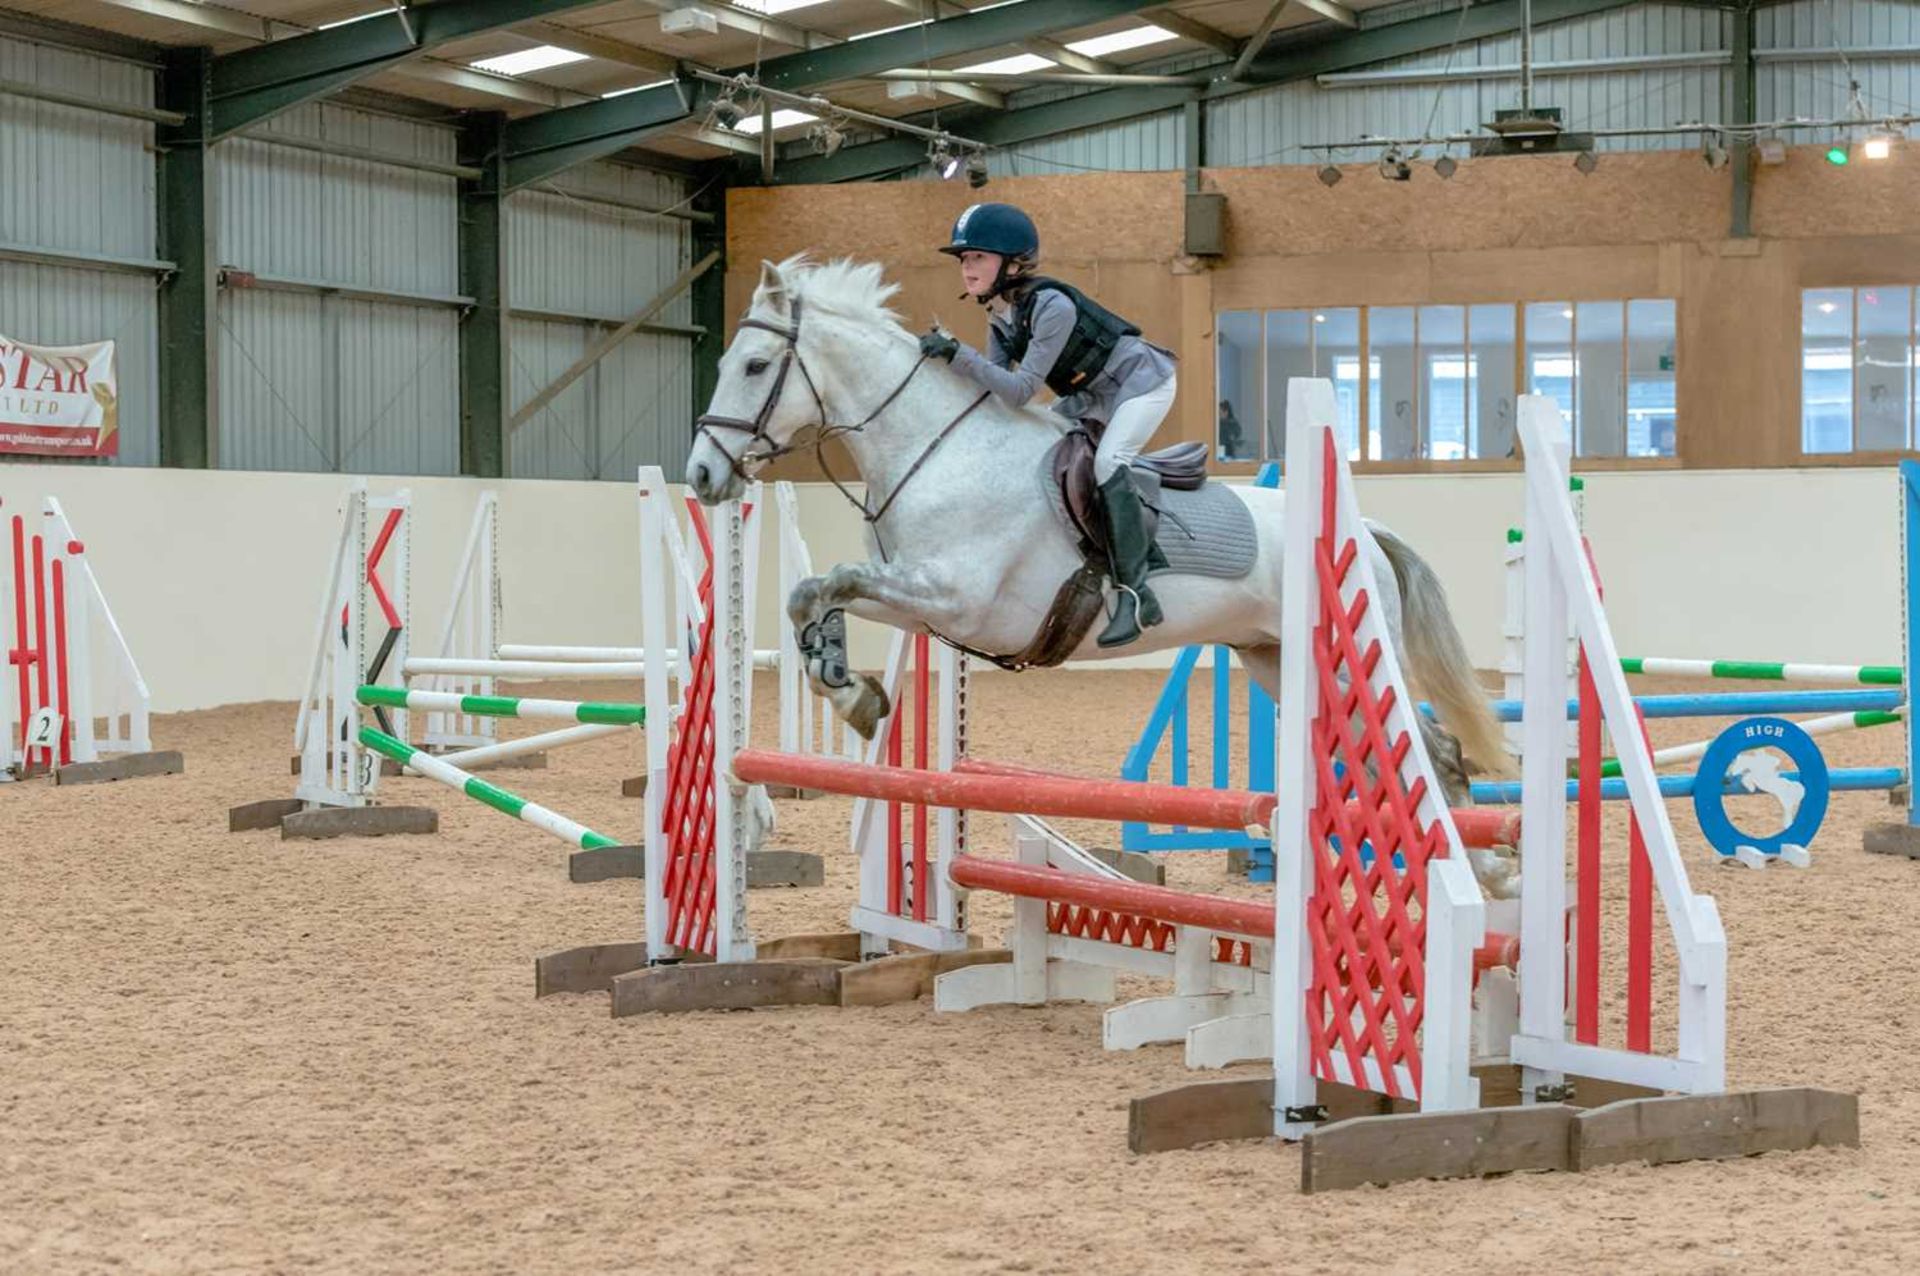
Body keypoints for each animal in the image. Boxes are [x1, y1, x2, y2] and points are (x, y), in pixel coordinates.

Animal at [683, 259, 1505, 805]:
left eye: (755, 365)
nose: (700, 475)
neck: (937, 446)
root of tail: (1364, 531)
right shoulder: (918, 601)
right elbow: (813, 590)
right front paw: (848, 687)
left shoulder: (958, 600)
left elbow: (836, 581)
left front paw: (847, 684)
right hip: (1278, 658)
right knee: (1397, 757)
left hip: (1351, 659)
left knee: (1432, 751)